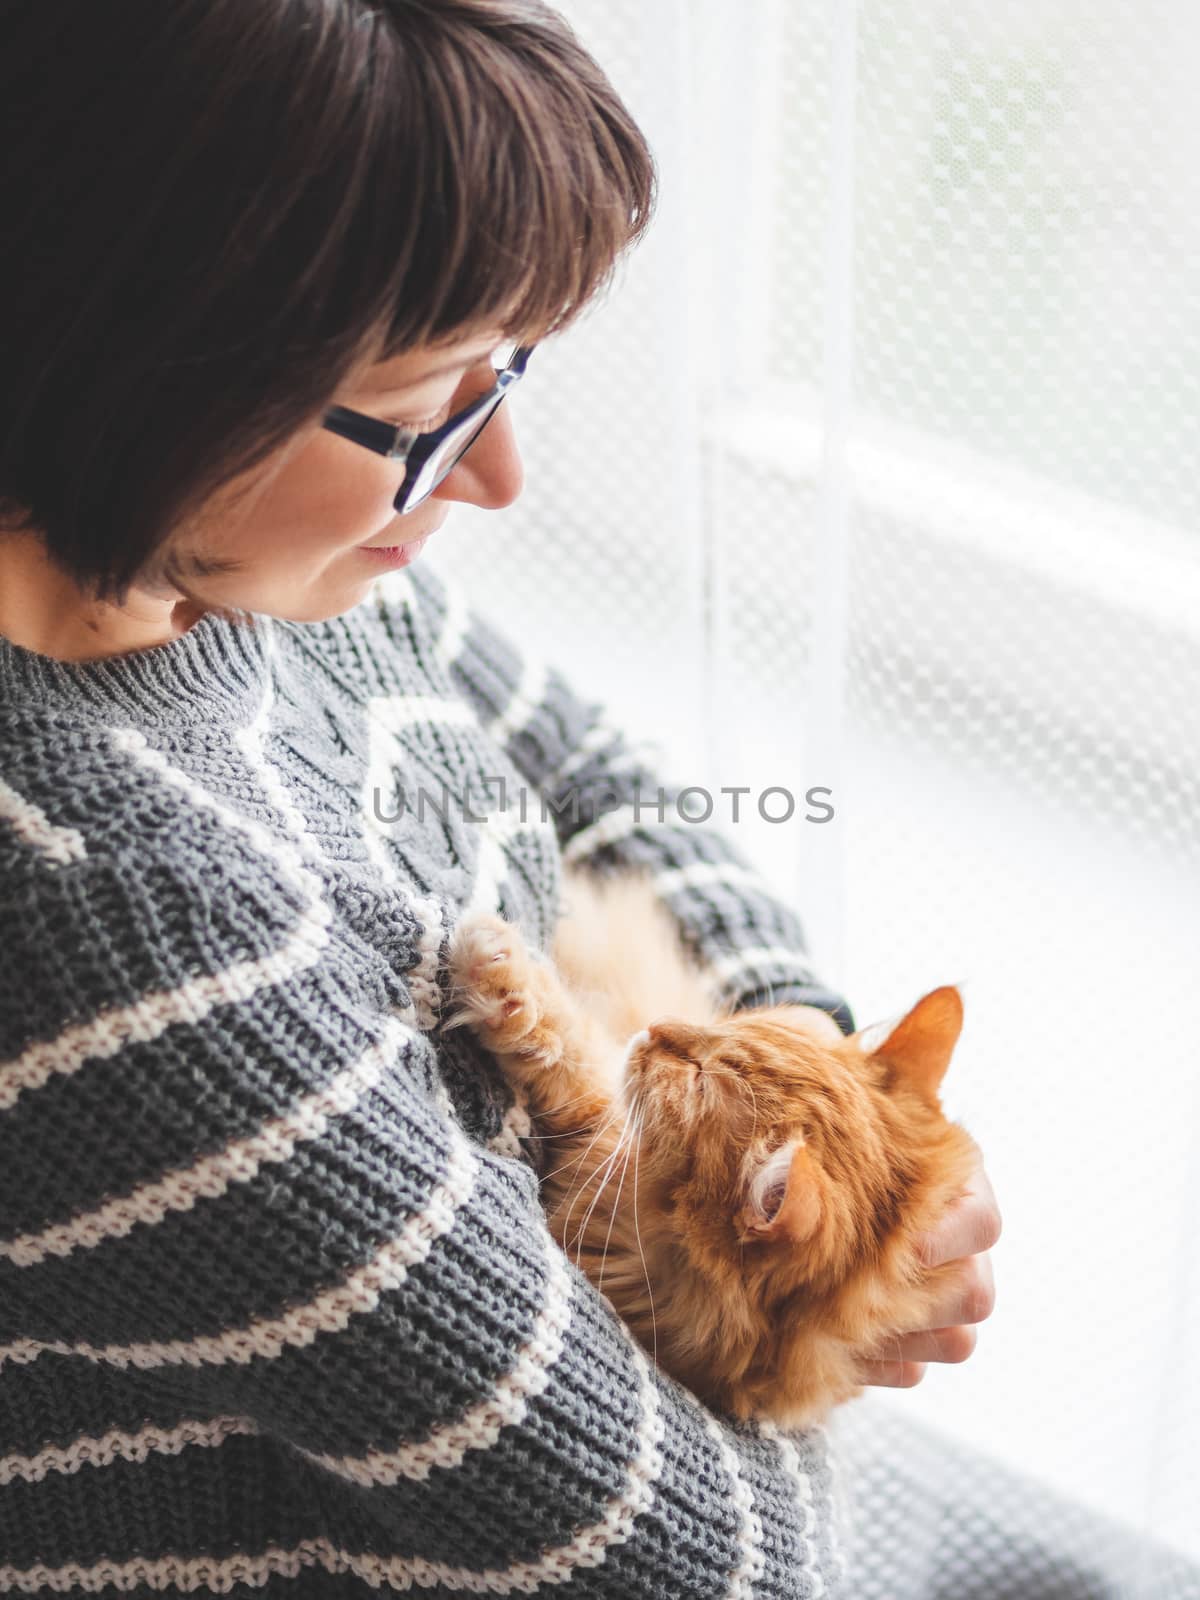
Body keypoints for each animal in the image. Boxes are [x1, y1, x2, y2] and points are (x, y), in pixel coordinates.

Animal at [448, 864, 979, 1427]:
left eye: (698, 1079)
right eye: (739, 1025)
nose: (657, 1026)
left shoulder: (599, 1139)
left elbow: (570, 1045)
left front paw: (498, 964)